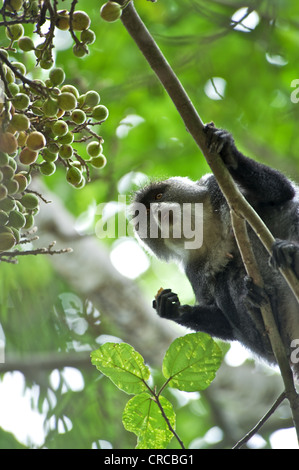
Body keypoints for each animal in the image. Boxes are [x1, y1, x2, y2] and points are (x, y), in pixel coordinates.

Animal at [132, 124, 299, 374]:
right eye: (145, 212)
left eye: (159, 195)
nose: (158, 210)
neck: (204, 230)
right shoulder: (193, 269)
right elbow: (225, 324)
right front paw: (170, 309)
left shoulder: (216, 189)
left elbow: (282, 191)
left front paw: (228, 151)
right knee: (228, 276)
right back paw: (259, 310)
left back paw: (290, 254)